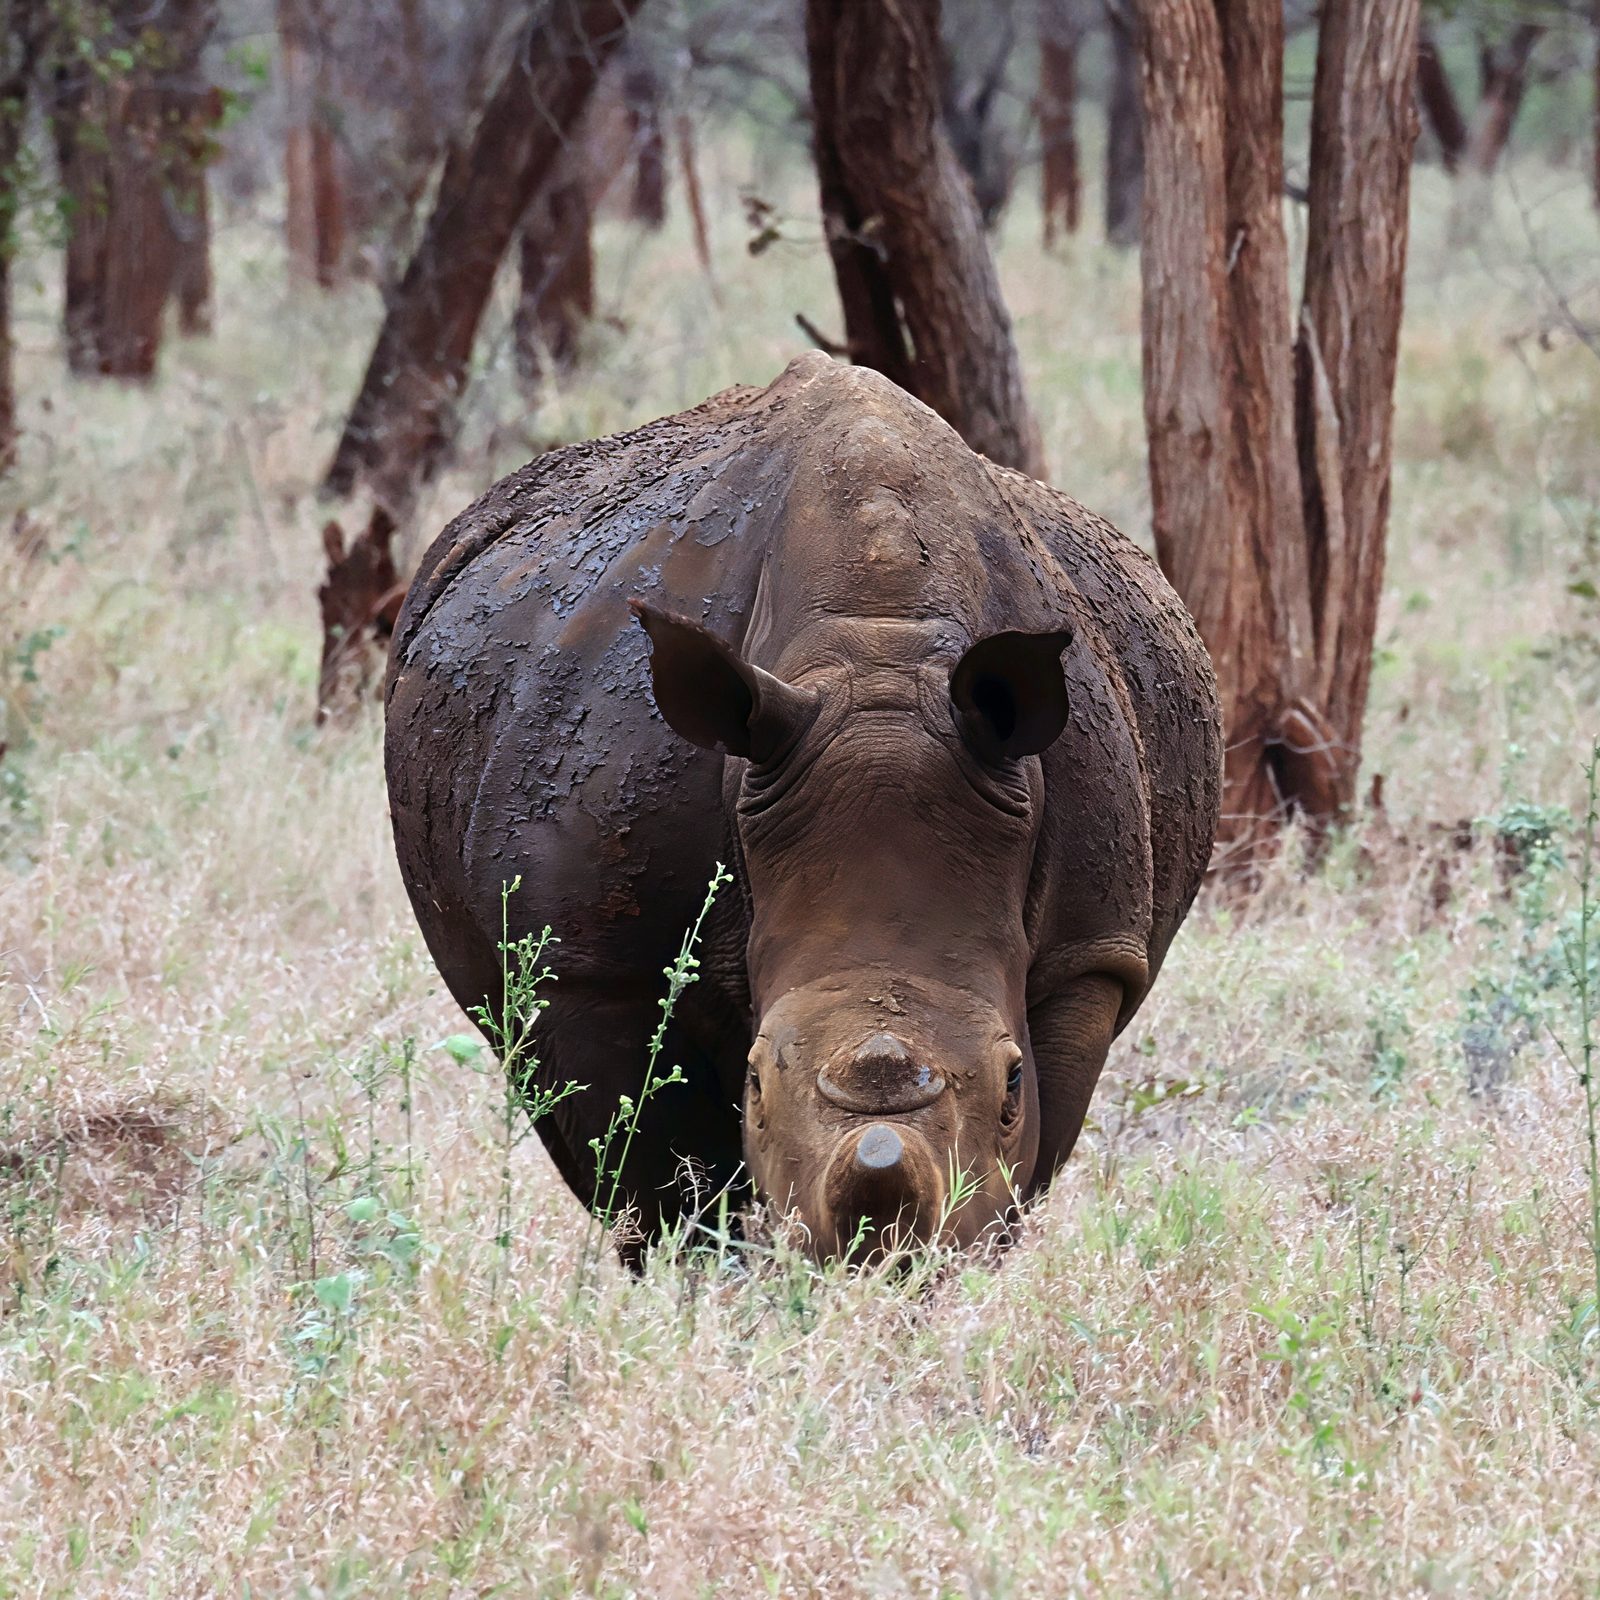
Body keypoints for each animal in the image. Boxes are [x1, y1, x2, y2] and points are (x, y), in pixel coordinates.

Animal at [385, 354, 1221, 1261]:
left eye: (1011, 1081)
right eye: (755, 1080)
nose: (877, 1257)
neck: (879, 654)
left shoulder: (1088, 948)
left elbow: (1032, 1155)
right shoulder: (591, 964)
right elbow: (660, 1181)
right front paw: (711, 1282)